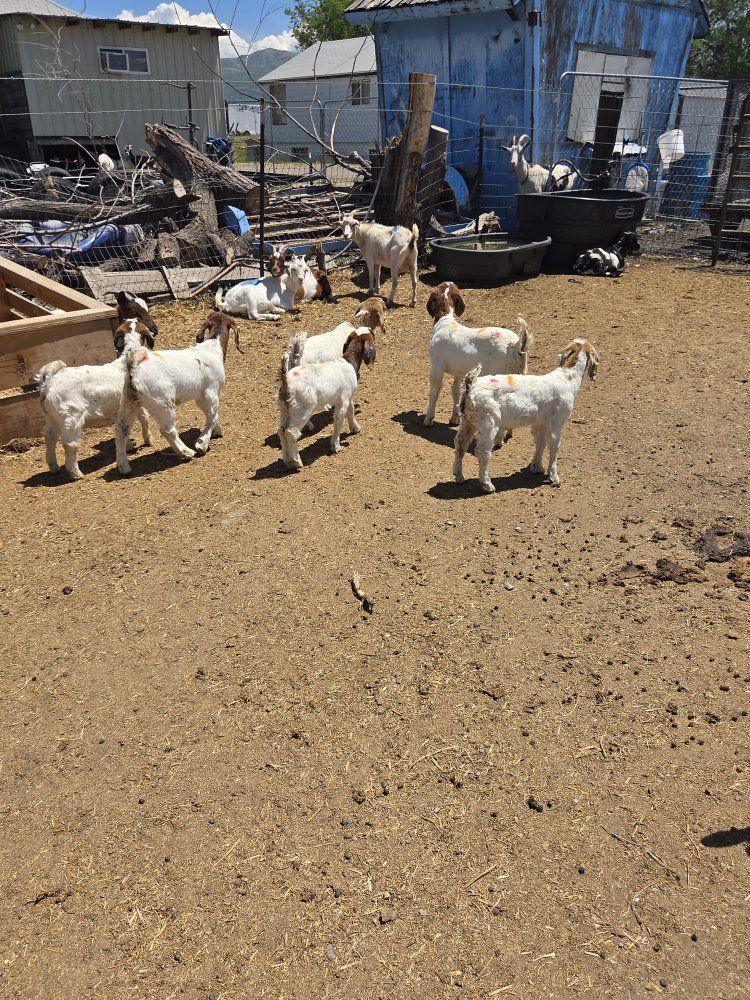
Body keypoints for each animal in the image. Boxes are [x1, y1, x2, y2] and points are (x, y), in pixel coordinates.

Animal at [35, 319, 154, 480]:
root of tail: (50, 381)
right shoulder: (135, 401)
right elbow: (144, 418)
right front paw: (148, 440)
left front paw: (129, 445)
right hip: (71, 416)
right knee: (69, 444)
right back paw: (75, 473)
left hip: (51, 417)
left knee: (49, 436)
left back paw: (54, 466)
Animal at [115, 311, 241, 475]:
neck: (213, 347)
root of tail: (134, 363)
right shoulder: (209, 393)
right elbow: (213, 416)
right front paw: (202, 444)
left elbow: (212, 416)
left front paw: (216, 432)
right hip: (162, 402)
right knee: (168, 430)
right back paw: (186, 452)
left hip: (129, 401)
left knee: (121, 429)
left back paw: (123, 466)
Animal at [277, 329, 376, 470]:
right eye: (372, 334)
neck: (348, 361)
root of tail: (287, 382)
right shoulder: (342, 402)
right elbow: (339, 421)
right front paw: (335, 445)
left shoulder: (347, 397)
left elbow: (351, 411)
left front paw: (355, 428)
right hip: (301, 410)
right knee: (291, 433)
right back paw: (296, 461)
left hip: (284, 409)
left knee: (281, 431)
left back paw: (287, 459)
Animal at [424, 282, 532, 427]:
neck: (445, 321)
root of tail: (516, 344)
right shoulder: (459, 372)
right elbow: (456, 391)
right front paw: (454, 419)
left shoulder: (437, 366)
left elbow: (435, 391)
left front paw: (428, 419)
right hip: (520, 373)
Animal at [453, 338, 600, 492]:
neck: (567, 380)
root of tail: (471, 386)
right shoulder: (557, 421)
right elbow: (554, 445)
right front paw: (554, 477)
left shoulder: (540, 422)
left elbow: (540, 443)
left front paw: (537, 467)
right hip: (488, 421)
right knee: (482, 452)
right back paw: (487, 484)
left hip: (469, 421)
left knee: (460, 443)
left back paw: (459, 477)